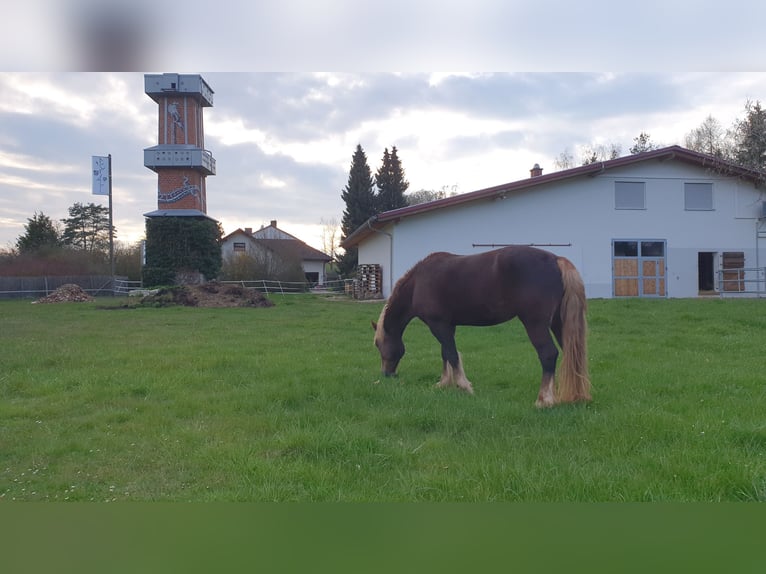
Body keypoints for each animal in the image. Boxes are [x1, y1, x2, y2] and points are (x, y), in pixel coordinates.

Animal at [372, 248, 592, 410]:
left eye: (378, 344)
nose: (386, 374)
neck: (418, 282)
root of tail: (557, 260)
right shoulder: (448, 326)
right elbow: (445, 353)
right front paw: (444, 383)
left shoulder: (438, 325)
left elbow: (451, 354)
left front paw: (463, 386)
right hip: (558, 323)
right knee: (572, 353)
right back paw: (577, 395)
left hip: (535, 323)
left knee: (548, 354)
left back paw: (543, 400)